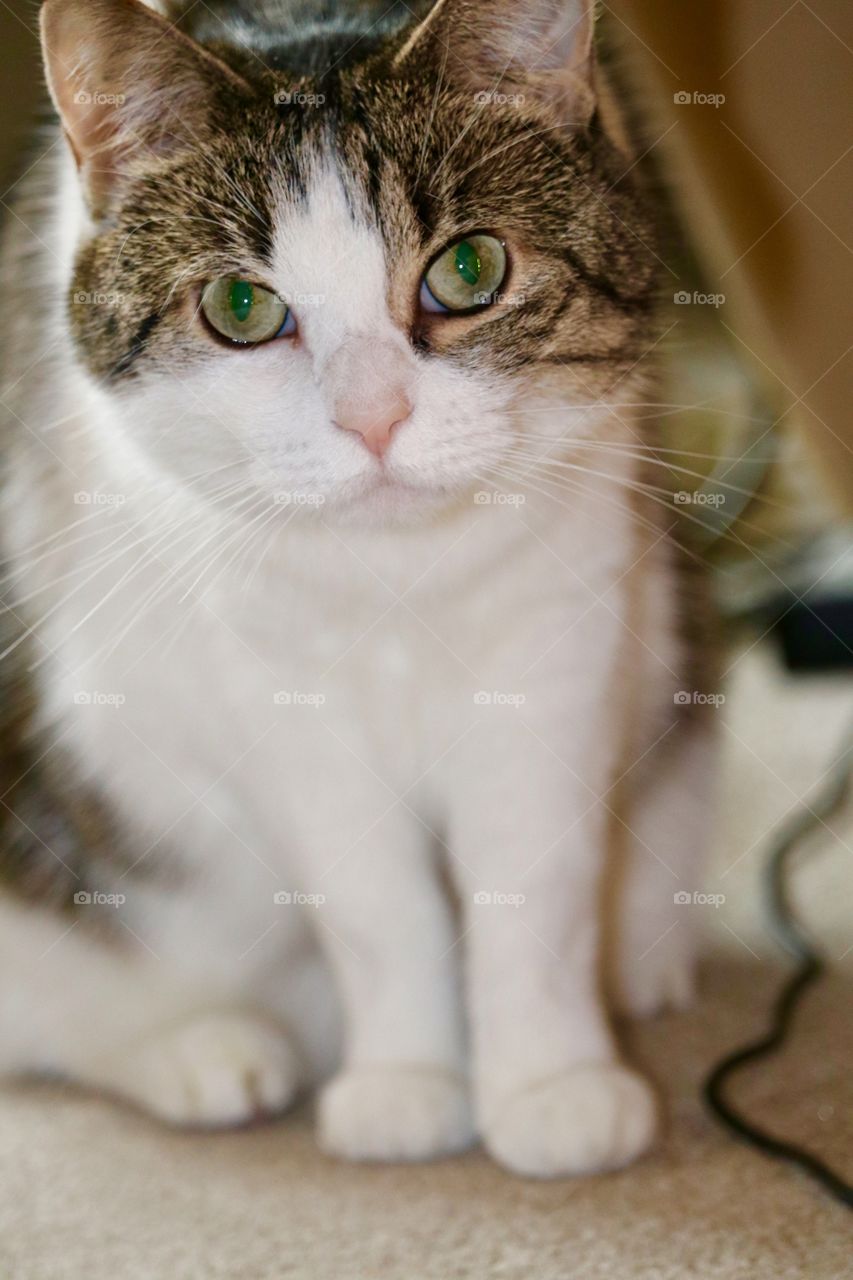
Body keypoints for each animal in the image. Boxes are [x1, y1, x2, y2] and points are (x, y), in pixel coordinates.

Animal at [0, 0, 717, 1172]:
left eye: (468, 270)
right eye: (240, 305)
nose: (373, 417)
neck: (398, 583)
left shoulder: (559, 640)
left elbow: (538, 889)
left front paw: (550, 1082)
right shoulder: (280, 699)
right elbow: (377, 906)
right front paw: (408, 1084)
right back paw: (199, 1049)